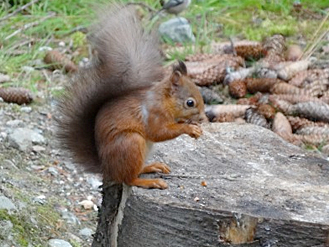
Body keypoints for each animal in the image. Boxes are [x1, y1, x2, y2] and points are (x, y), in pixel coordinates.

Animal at [55, 3, 206, 189]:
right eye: (190, 103)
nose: (203, 118)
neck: (164, 101)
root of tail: (107, 169)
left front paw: (193, 126)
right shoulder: (153, 115)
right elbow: (159, 133)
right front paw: (188, 128)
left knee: (135, 171)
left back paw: (152, 166)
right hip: (131, 143)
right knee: (129, 179)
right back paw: (150, 181)